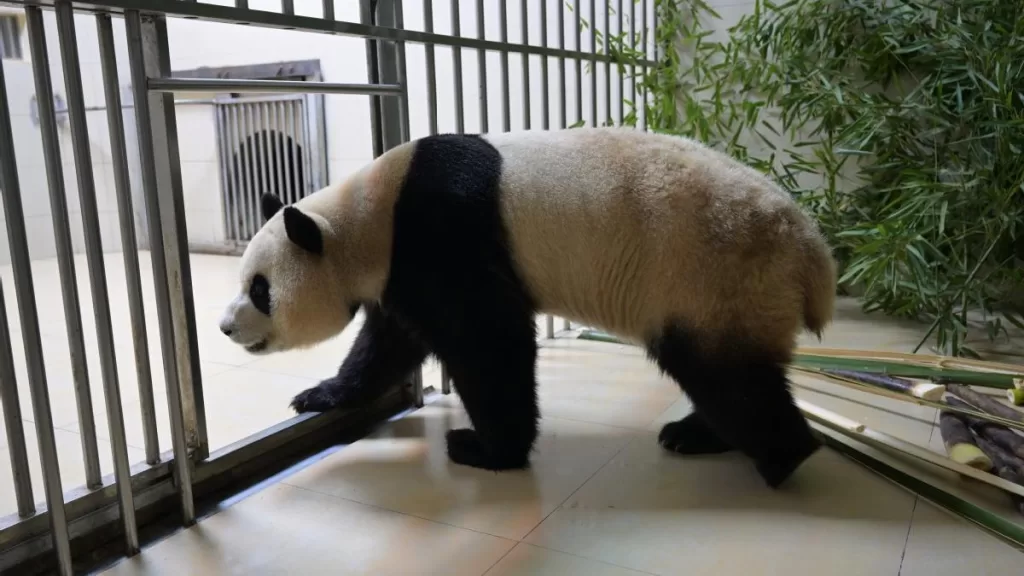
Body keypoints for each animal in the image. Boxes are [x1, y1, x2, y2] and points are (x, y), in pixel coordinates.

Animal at [218, 126, 837, 489]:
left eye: (259, 289)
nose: (225, 327)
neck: (368, 216)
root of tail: (811, 252)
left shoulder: (442, 230)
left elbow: (488, 340)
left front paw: (485, 449)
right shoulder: (401, 271)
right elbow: (388, 344)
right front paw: (319, 395)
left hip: (712, 276)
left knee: (726, 376)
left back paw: (779, 457)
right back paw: (701, 435)